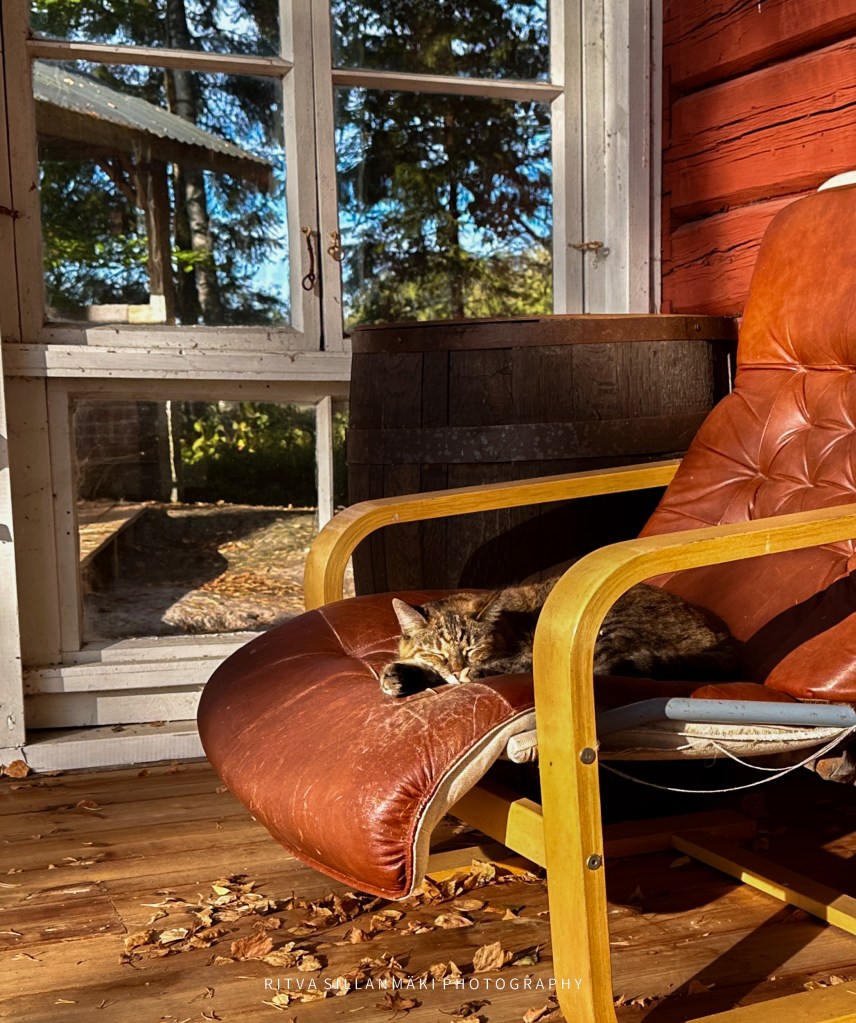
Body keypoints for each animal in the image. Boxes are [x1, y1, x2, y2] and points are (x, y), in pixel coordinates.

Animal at [379, 578, 739, 697]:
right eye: (437, 653)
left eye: (474, 649)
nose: (456, 668)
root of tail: (717, 635)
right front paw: (395, 676)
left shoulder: (526, 651)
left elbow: (514, 664)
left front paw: (474, 672)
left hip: (612, 629)